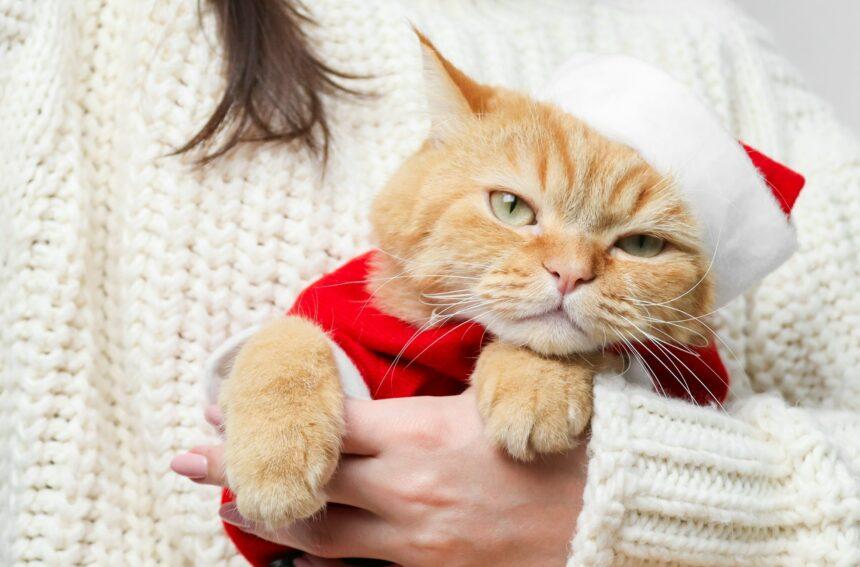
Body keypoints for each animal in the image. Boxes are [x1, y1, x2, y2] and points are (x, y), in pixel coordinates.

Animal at [220, 35, 712, 532]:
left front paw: (537, 379)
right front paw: (277, 449)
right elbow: (286, 337)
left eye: (642, 245)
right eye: (511, 207)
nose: (570, 273)